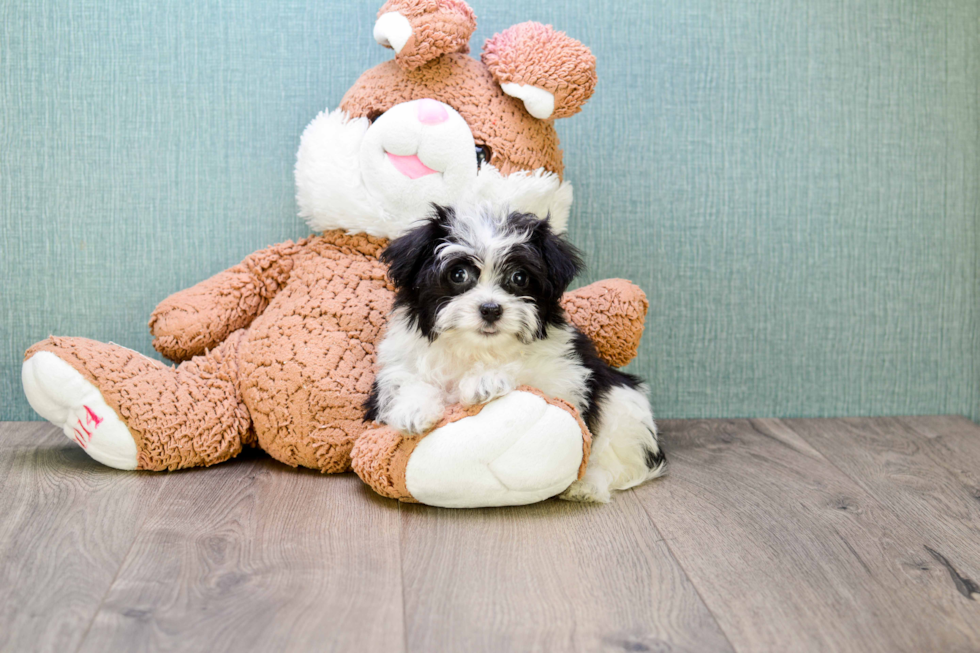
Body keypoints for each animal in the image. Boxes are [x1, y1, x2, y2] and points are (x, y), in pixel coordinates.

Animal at [366, 206, 668, 502]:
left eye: (519, 278)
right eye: (458, 274)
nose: (490, 309)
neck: (478, 349)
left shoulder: (564, 375)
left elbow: (528, 371)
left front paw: (485, 380)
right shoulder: (396, 365)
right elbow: (406, 380)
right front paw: (413, 409)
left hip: (624, 406)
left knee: (618, 460)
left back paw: (586, 486)